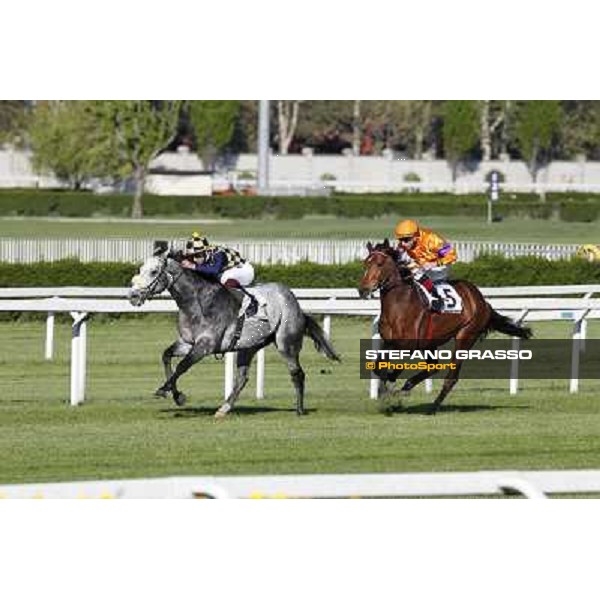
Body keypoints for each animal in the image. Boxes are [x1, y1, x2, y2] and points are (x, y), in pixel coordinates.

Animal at [128, 247, 340, 418]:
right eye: (140, 270)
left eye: (153, 271)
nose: (132, 295)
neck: (197, 303)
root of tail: (294, 302)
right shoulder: (187, 343)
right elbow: (166, 356)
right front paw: (175, 395)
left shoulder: (205, 345)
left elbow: (182, 366)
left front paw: (165, 390)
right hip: (249, 346)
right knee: (242, 378)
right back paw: (224, 408)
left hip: (285, 343)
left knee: (297, 373)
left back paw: (299, 409)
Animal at [358, 239, 532, 412]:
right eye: (366, 263)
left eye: (380, 263)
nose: (363, 290)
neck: (400, 303)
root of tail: (482, 301)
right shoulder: (389, 341)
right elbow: (377, 366)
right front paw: (385, 390)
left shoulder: (409, 344)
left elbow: (395, 367)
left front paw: (390, 387)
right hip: (431, 343)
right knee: (434, 367)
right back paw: (408, 387)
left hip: (465, 336)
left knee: (451, 377)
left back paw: (432, 406)